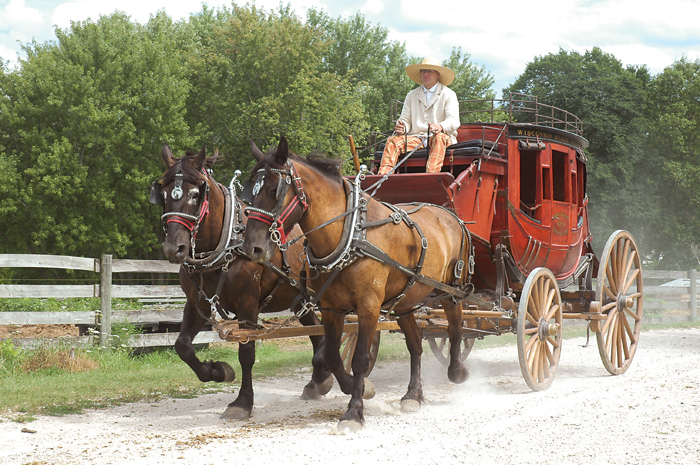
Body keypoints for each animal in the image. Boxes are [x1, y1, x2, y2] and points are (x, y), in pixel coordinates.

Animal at [150, 143, 334, 418]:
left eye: (195, 195)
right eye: (162, 194)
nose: (174, 248)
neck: (226, 244)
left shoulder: (247, 304)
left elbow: (247, 352)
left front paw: (242, 402)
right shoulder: (197, 303)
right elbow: (182, 346)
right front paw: (218, 371)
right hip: (302, 300)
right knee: (317, 332)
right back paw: (318, 381)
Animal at [239, 136, 470, 430]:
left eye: (273, 190)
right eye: (250, 191)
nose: (252, 247)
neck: (350, 234)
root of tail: (450, 215)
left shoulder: (368, 306)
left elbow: (360, 358)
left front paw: (354, 411)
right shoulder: (331, 308)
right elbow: (332, 355)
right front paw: (354, 387)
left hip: (451, 291)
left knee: (456, 328)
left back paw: (457, 371)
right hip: (405, 299)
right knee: (416, 344)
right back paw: (413, 395)